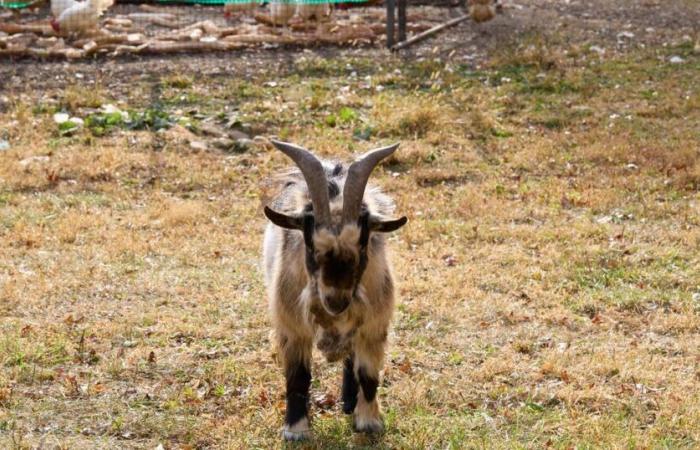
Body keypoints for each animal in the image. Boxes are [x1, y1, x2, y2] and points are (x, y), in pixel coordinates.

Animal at [262, 140, 404, 440]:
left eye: (363, 242)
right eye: (309, 242)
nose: (336, 301)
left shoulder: (374, 323)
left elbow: (368, 375)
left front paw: (369, 422)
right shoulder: (292, 325)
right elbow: (298, 377)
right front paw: (296, 430)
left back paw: (349, 403)